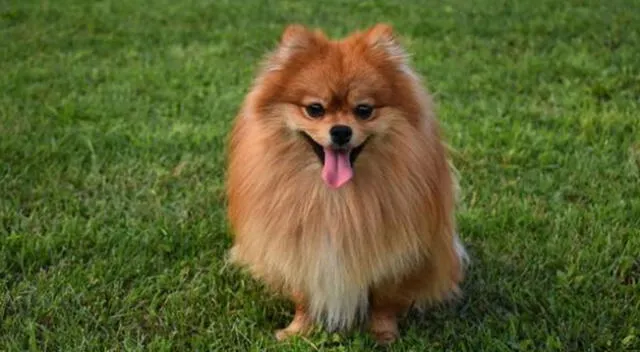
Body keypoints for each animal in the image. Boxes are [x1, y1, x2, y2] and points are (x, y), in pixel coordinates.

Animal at [228, 22, 468, 344]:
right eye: (315, 109)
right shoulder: (299, 248)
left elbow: (384, 300)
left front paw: (383, 334)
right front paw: (298, 330)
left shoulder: (394, 254)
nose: (340, 131)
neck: (335, 197)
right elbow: (303, 295)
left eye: (364, 110)